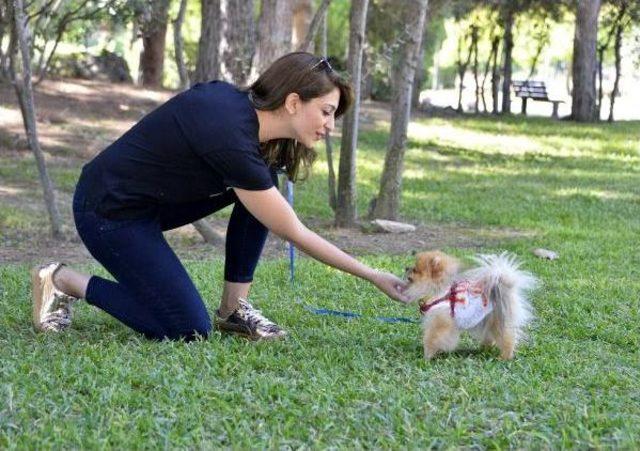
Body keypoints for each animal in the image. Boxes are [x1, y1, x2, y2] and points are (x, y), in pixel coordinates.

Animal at [404, 251, 536, 360]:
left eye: (415, 270)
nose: (406, 267)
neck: (442, 292)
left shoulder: (440, 323)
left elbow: (431, 339)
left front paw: (427, 356)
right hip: (488, 320)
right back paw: (483, 348)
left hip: (498, 320)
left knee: (507, 339)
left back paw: (504, 357)